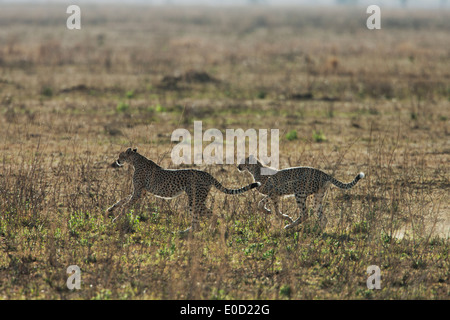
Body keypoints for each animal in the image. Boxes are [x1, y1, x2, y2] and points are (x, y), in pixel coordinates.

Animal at [106, 148, 260, 232]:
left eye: (121, 155)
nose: (117, 161)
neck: (136, 160)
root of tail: (207, 173)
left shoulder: (138, 192)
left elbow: (126, 205)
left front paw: (116, 218)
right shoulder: (140, 192)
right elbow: (122, 200)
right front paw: (110, 209)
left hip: (195, 200)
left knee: (213, 216)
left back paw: (206, 230)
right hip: (197, 200)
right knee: (198, 223)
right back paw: (186, 232)